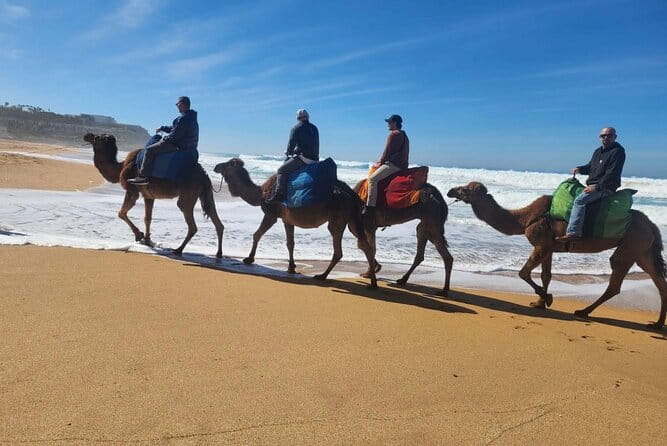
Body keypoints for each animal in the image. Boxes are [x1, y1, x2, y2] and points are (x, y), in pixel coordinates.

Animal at [83, 133, 224, 257]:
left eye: (97, 137)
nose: (86, 135)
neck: (121, 167)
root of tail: (204, 174)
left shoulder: (132, 190)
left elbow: (121, 213)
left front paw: (139, 235)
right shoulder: (148, 196)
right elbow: (147, 218)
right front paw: (147, 240)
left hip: (188, 193)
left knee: (191, 222)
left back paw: (178, 250)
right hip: (205, 193)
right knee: (216, 219)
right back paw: (218, 254)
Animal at [213, 158, 377, 288]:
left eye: (227, 164)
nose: (216, 166)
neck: (261, 193)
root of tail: (352, 194)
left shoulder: (271, 214)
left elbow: (257, 234)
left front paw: (249, 258)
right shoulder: (287, 219)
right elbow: (290, 243)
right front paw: (291, 268)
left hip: (337, 219)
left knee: (341, 249)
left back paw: (324, 276)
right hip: (352, 220)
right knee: (364, 245)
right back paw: (372, 282)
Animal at [447, 182, 667, 329]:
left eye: (465, 189)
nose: (450, 190)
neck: (525, 218)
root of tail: (651, 224)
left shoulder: (541, 244)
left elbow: (523, 273)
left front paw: (547, 298)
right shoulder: (550, 247)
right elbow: (546, 275)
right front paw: (539, 303)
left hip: (631, 245)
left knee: (616, 279)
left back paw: (583, 311)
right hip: (643, 251)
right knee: (658, 281)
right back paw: (656, 324)